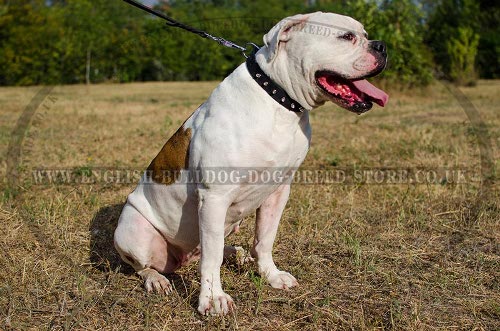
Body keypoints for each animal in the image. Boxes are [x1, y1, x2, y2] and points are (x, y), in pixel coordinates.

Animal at [115, 11, 388, 316]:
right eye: (346, 37)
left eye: (365, 35)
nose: (381, 46)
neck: (278, 99)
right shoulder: (214, 197)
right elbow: (211, 259)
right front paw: (213, 299)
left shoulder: (278, 191)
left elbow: (264, 239)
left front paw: (271, 275)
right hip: (134, 230)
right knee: (148, 265)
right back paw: (157, 280)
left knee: (213, 247)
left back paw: (238, 254)